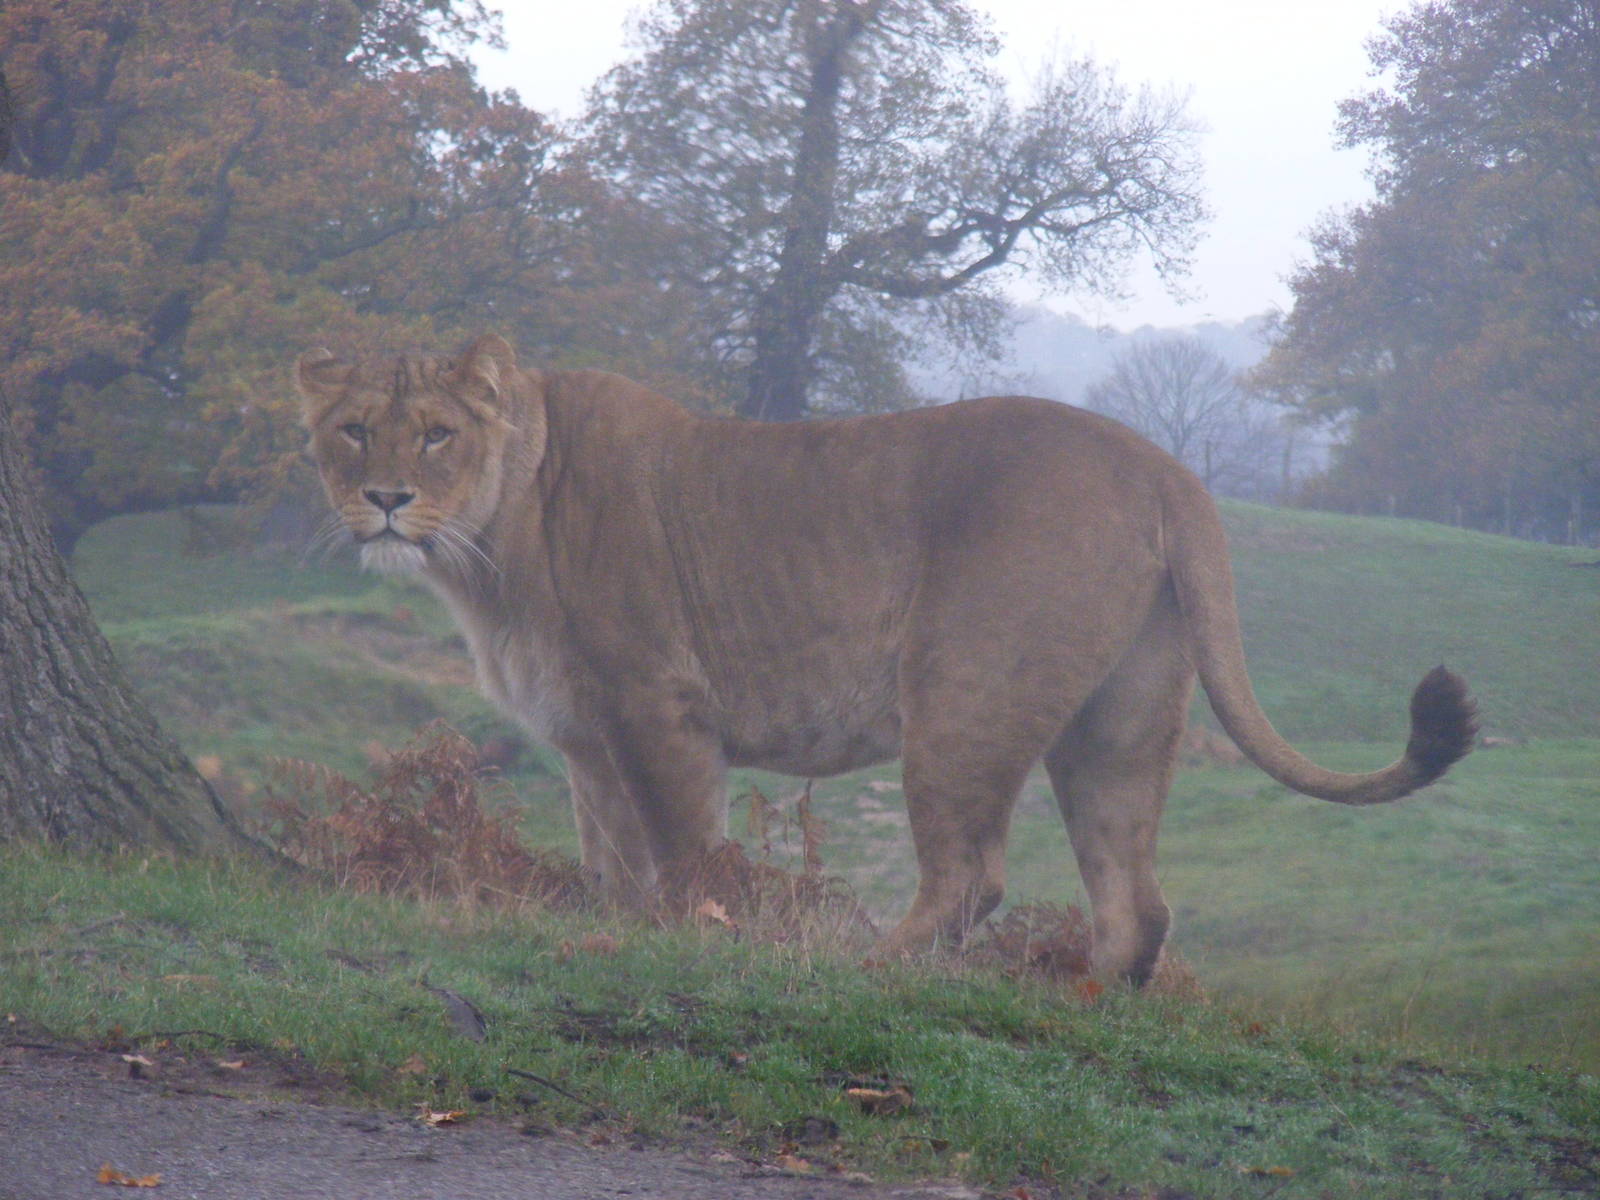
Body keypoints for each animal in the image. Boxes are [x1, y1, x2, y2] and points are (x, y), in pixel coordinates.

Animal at [296, 334, 1476, 984]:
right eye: (352, 430)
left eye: (436, 433)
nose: (385, 498)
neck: (491, 546)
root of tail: (1166, 469)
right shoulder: (587, 741)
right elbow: (611, 864)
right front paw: (617, 937)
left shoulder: (658, 705)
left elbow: (682, 855)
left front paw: (700, 944)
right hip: (1123, 713)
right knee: (1133, 901)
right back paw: (1078, 1004)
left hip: (962, 692)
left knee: (969, 877)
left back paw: (861, 972)